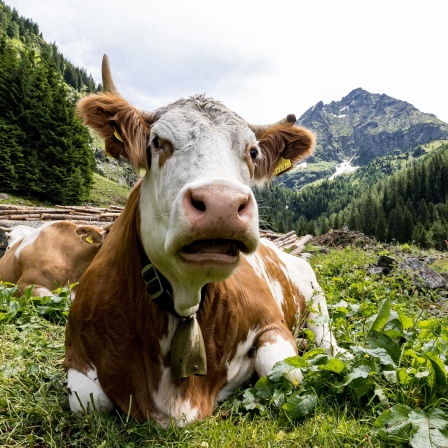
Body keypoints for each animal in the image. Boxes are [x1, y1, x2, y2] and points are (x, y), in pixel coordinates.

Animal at [63, 54, 344, 426]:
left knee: (326, 340)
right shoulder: (77, 352)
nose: (221, 204)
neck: (184, 300)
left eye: (252, 152)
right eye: (157, 142)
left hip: (316, 296)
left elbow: (286, 373)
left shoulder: (272, 323)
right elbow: (90, 404)